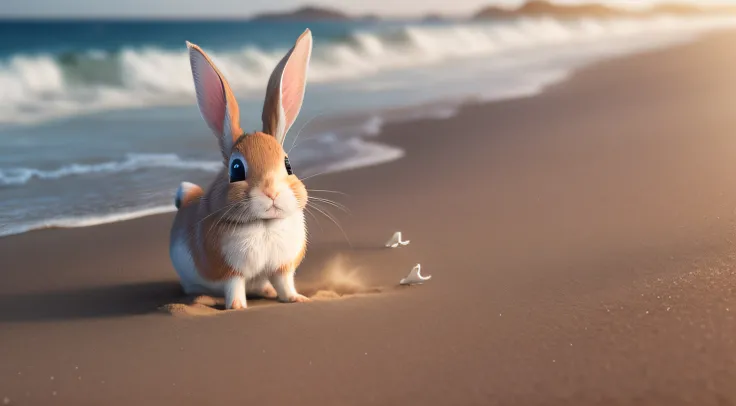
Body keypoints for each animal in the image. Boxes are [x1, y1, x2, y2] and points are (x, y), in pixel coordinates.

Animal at [168, 30, 312, 310]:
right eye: (236, 169)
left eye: (288, 165)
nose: (271, 193)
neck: (264, 224)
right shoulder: (231, 273)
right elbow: (234, 287)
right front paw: (236, 307)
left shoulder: (281, 268)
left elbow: (284, 284)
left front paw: (297, 298)